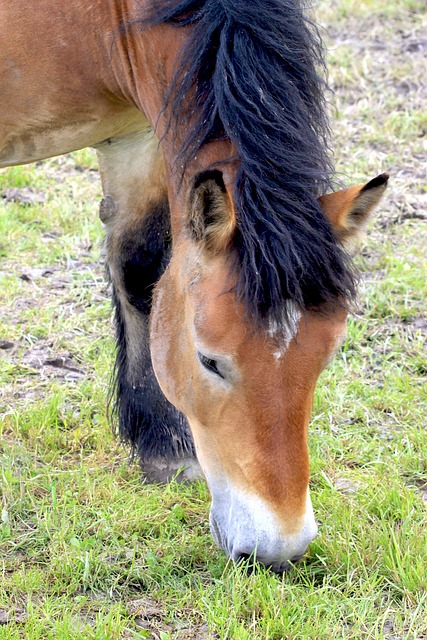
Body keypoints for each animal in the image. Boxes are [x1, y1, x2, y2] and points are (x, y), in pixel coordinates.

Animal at [0, 0, 388, 572]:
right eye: (209, 361)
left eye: (327, 356)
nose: (279, 549)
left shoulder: (137, 134)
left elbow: (140, 265)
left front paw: (163, 448)